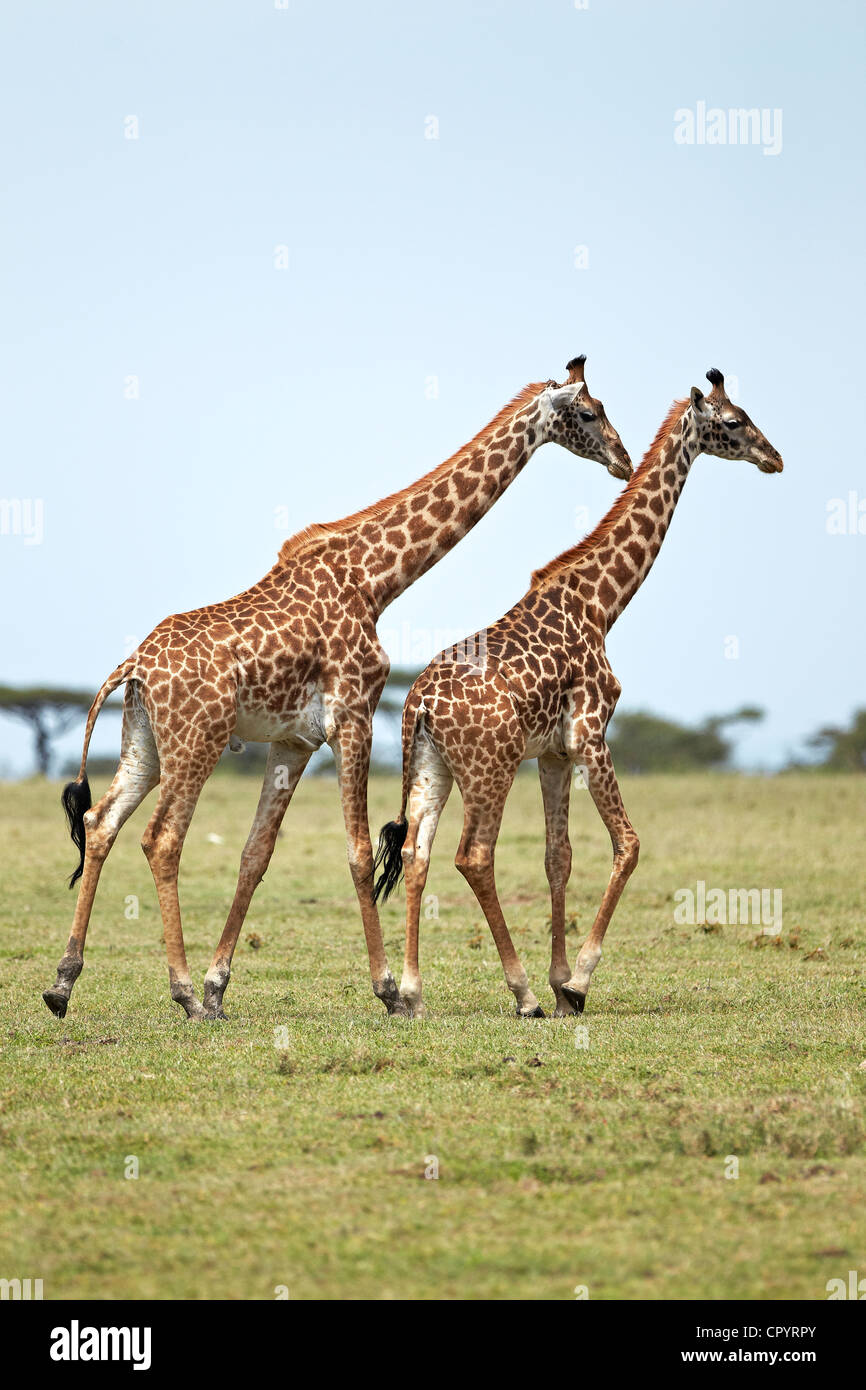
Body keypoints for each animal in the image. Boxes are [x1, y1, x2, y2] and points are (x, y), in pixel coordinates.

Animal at [43, 356, 633, 1022]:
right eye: (589, 412)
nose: (623, 459)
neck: (374, 580)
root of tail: (134, 665)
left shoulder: (295, 740)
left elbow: (257, 853)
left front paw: (222, 987)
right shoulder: (354, 713)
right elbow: (356, 848)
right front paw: (389, 991)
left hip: (143, 740)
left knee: (101, 822)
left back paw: (64, 984)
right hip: (198, 739)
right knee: (162, 839)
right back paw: (183, 992)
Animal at [373, 369, 783, 1019]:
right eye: (735, 421)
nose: (775, 457)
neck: (602, 603)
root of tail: (419, 708)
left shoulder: (554, 752)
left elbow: (557, 857)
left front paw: (562, 980)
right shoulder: (592, 730)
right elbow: (628, 844)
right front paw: (577, 983)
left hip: (430, 767)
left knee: (418, 853)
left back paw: (411, 993)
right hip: (490, 766)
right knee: (474, 855)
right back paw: (520, 994)